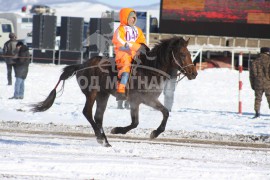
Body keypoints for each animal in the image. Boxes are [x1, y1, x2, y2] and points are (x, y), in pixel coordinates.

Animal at [32, 36, 198, 146]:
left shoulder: (147, 100)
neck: (150, 69)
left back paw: (105, 140)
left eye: (190, 54)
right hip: (92, 93)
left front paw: (155, 133)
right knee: (87, 112)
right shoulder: (139, 100)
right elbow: (135, 122)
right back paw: (101, 138)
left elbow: (165, 112)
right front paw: (117, 130)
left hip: (103, 95)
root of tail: (81, 65)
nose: (194, 73)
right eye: (183, 54)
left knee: (98, 117)